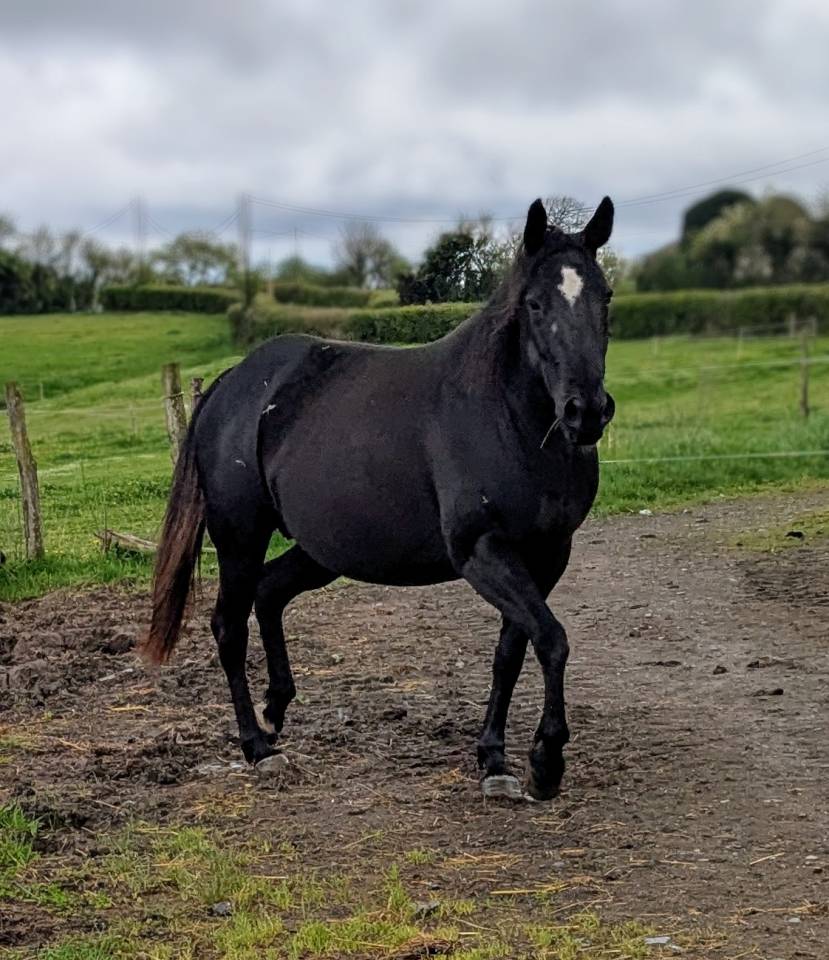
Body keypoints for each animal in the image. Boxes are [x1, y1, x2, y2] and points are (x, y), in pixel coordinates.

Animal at [141, 195, 616, 801]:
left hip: (320, 551)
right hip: (239, 537)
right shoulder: (482, 552)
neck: (508, 418)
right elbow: (552, 639)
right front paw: (546, 760)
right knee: (229, 624)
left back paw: (277, 708)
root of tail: (232, 383)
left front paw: (494, 758)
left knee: (269, 594)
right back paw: (257, 746)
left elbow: (513, 650)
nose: (587, 412)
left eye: (605, 296)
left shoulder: (548, 554)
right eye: (535, 303)